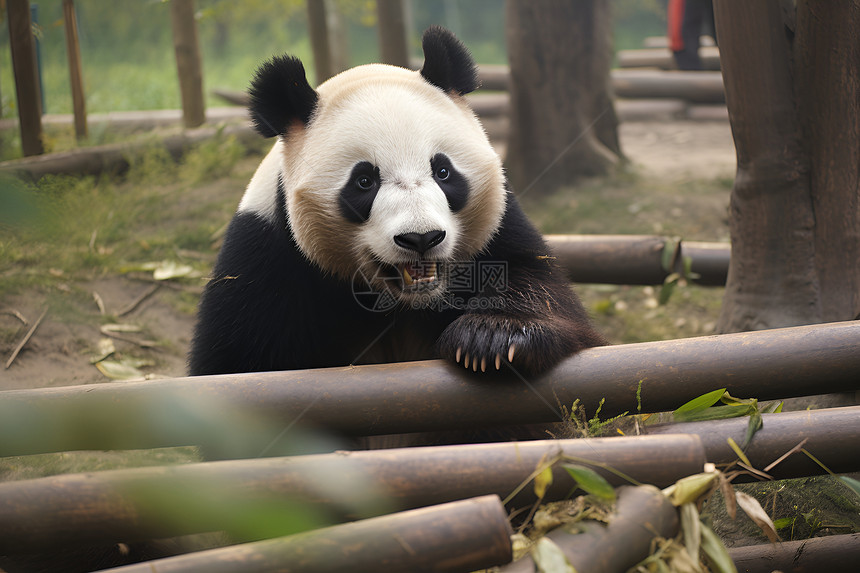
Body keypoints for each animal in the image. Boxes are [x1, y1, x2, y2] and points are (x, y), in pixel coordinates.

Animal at [188, 30, 604, 388]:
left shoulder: (501, 229)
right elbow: (233, 364)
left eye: (443, 171)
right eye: (364, 181)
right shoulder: (263, 259)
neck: (402, 304)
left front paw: (492, 338)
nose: (421, 239)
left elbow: (543, 293)